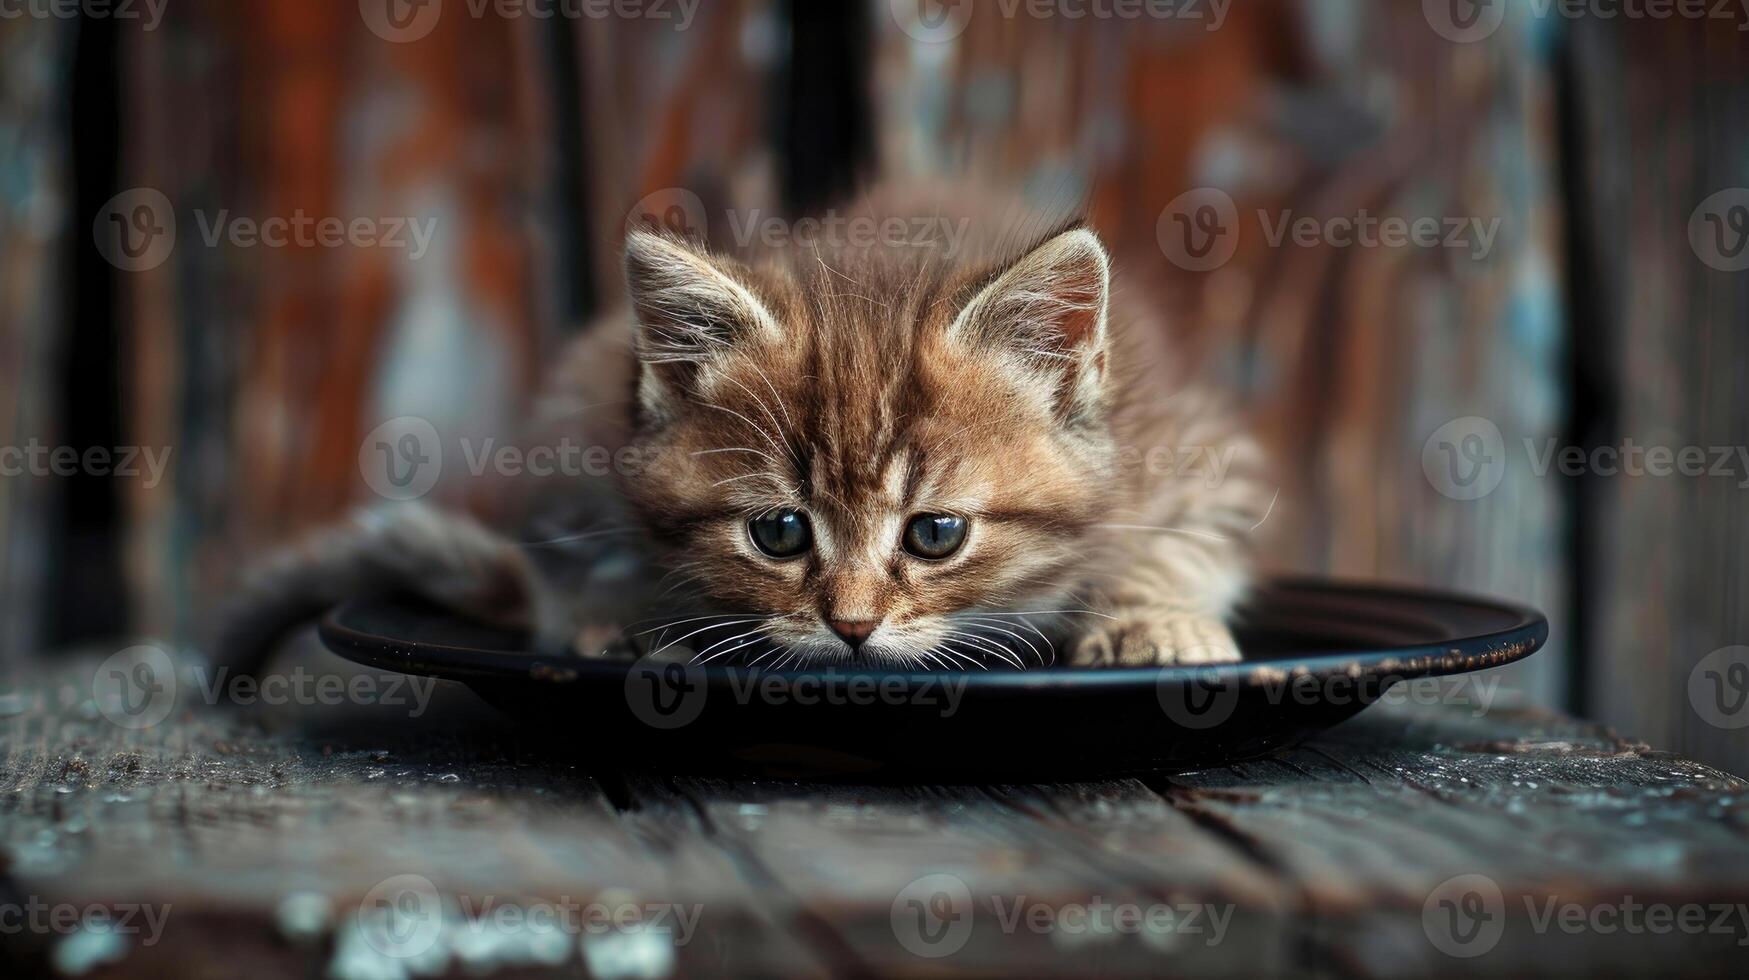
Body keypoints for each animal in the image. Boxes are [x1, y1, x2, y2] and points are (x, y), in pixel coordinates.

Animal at [215, 196, 1273, 679]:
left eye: (935, 534)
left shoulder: (1194, 448)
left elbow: (1184, 538)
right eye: (779, 532)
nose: (852, 628)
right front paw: (633, 614)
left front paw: (1150, 619)